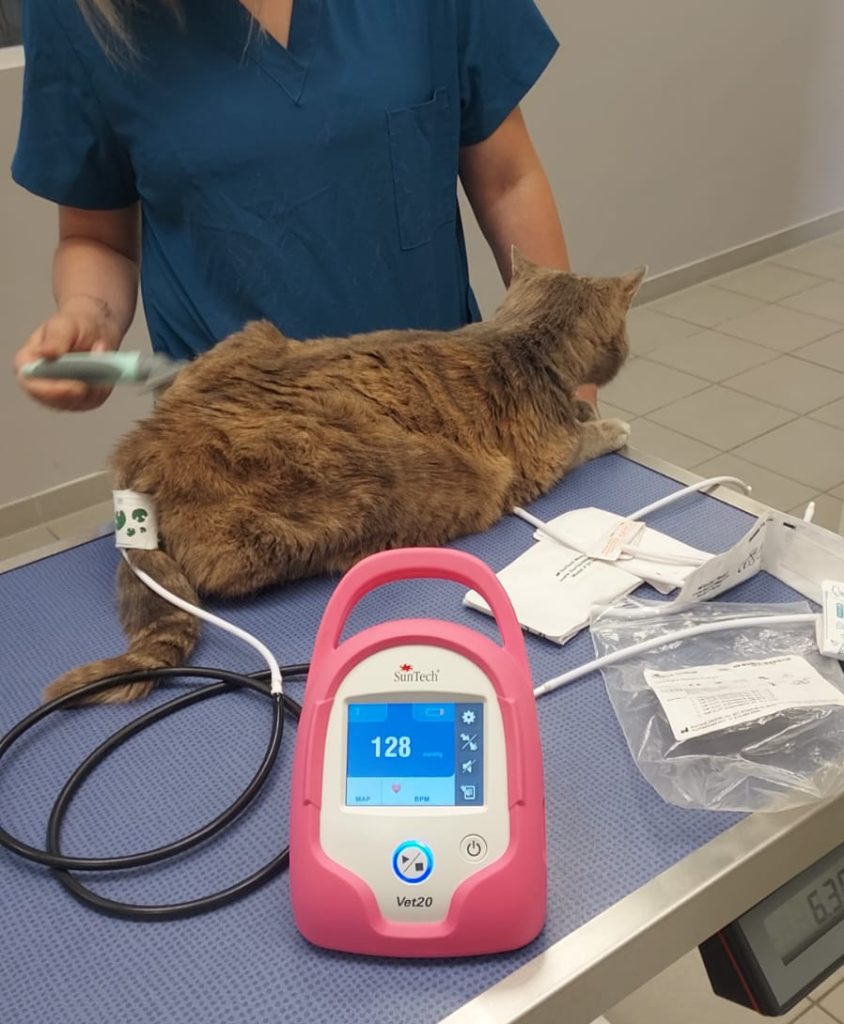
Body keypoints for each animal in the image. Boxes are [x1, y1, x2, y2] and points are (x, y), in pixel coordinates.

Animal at [43, 250, 644, 704]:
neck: (520, 339)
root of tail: (146, 443)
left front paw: (586, 409)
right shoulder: (547, 457)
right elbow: (585, 439)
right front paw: (609, 424)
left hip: (250, 338)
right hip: (360, 484)